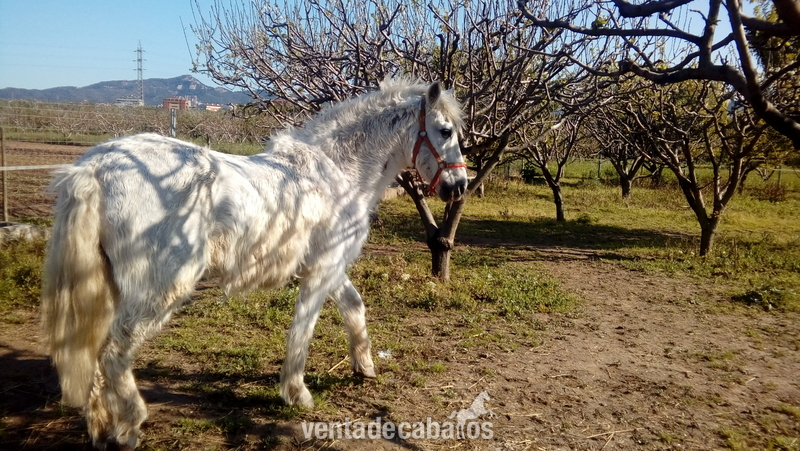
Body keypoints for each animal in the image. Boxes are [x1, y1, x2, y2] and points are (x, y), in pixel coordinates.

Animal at [40, 78, 467, 450]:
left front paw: (364, 367)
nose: (459, 186)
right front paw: (296, 393)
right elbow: (302, 330)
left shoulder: (330, 267)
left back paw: (100, 429)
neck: (338, 171)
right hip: (162, 287)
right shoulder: (321, 271)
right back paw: (130, 426)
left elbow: (353, 307)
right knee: (114, 353)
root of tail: (95, 167)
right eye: (444, 130)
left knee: (96, 352)